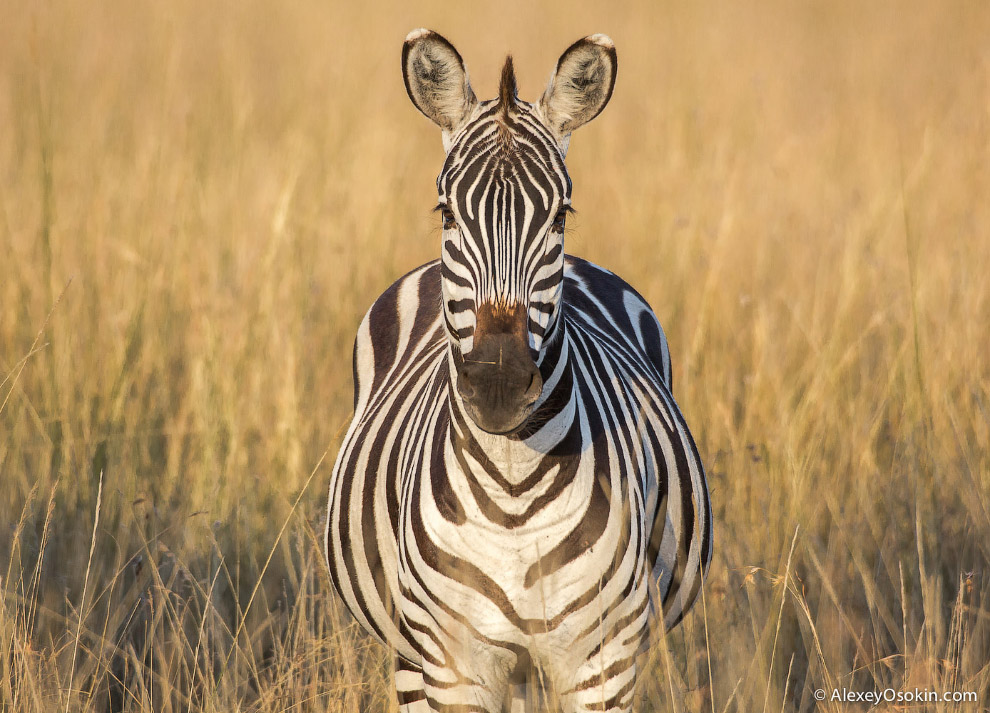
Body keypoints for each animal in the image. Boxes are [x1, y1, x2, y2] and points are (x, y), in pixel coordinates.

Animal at [326, 29, 712, 712]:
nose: (499, 384)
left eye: (560, 215)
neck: (512, 492)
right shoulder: (452, 665)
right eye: (446, 212)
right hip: (411, 654)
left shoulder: (603, 663)